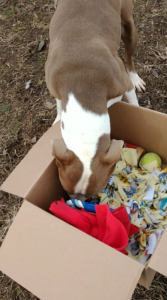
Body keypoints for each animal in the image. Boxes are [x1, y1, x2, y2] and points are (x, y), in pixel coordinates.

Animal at [45, 0, 145, 202]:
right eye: (66, 190)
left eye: (93, 194)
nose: (79, 203)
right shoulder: (55, 88)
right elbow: (59, 105)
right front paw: (57, 119)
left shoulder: (124, 85)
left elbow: (133, 102)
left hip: (128, 27)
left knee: (129, 55)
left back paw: (135, 76)